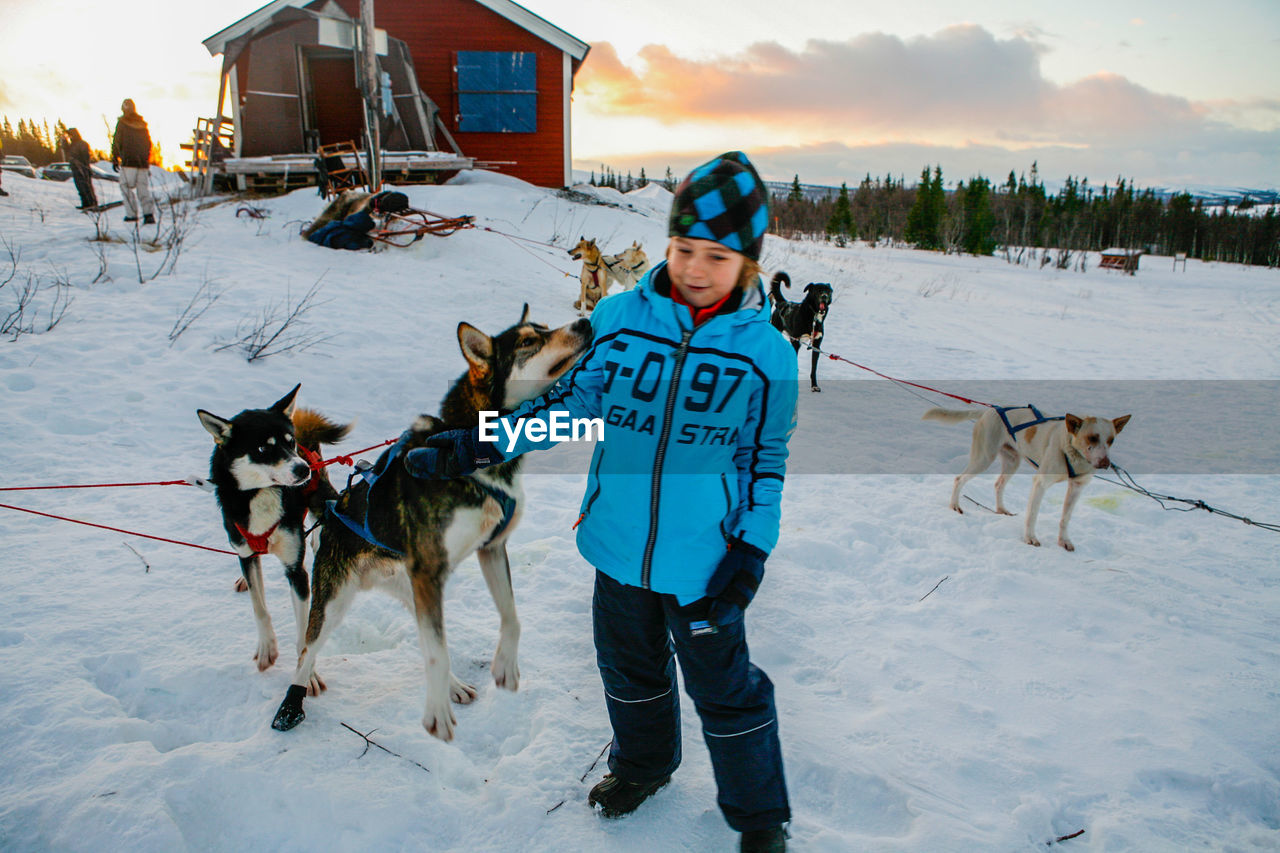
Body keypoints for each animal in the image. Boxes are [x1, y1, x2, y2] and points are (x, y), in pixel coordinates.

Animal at [194, 384, 348, 686]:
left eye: (290, 442)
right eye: (263, 447)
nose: (302, 469)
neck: (261, 495)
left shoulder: (296, 570)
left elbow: (305, 631)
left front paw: (307, 674)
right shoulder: (246, 553)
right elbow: (260, 608)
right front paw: (267, 648)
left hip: (319, 494)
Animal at [272, 306, 591, 737]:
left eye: (543, 327)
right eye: (528, 341)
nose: (585, 322)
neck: (471, 448)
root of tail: (336, 503)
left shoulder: (490, 549)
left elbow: (510, 617)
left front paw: (505, 666)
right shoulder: (430, 570)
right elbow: (438, 653)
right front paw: (436, 713)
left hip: (412, 589)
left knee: (428, 639)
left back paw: (454, 686)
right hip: (338, 600)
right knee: (307, 649)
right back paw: (292, 702)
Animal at [931, 404, 1131, 550]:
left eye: (1111, 440)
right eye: (1092, 438)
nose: (1105, 462)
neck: (1071, 451)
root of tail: (990, 410)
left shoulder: (1077, 488)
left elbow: (1065, 518)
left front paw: (1064, 541)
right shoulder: (1040, 483)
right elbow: (1032, 515)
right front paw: (1030, 538)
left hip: (1012, 463)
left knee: (998, 484)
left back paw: (1001, 509)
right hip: (983, 458)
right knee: (959, 479)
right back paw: (954, 505)